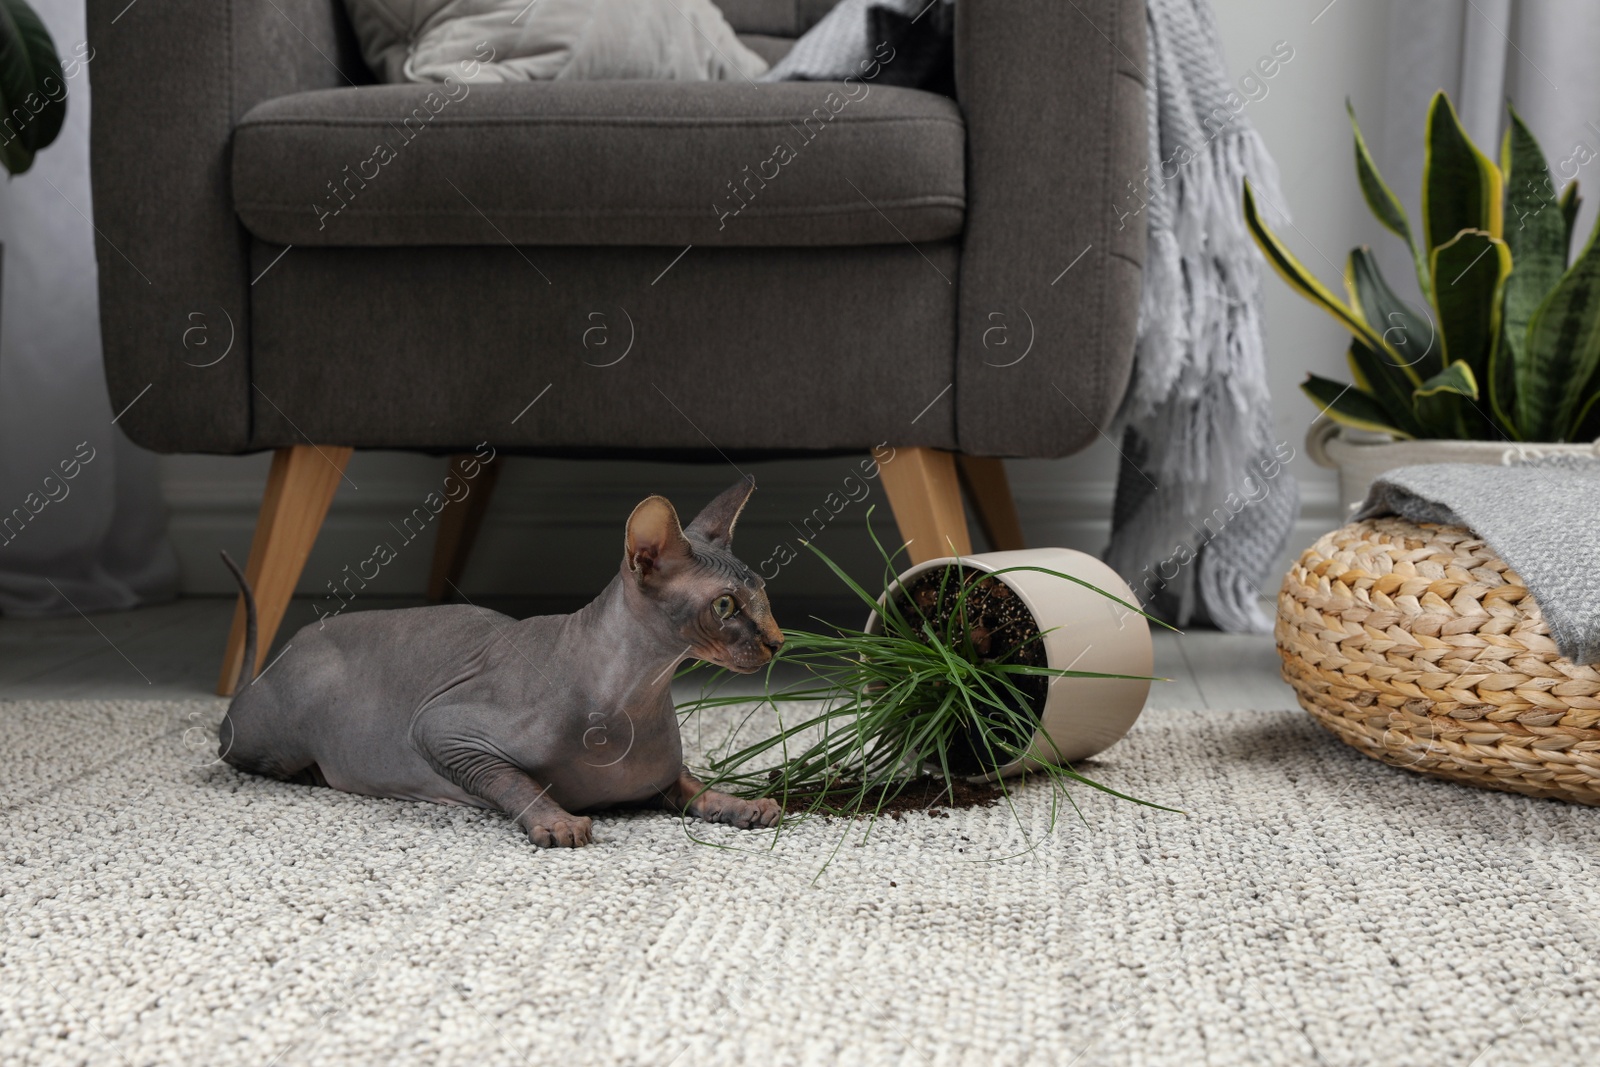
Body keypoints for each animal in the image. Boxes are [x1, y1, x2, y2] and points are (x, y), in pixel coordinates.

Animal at [217, 479, 780, 844]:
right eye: (725, 606)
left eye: (763, 593)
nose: (777, 642)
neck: (638, 693)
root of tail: (279, 655)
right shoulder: (440, 729)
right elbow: (514, 780)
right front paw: (557, 822)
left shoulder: (661, 780)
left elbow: (695, 786)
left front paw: (743, 805)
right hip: (283, 734)